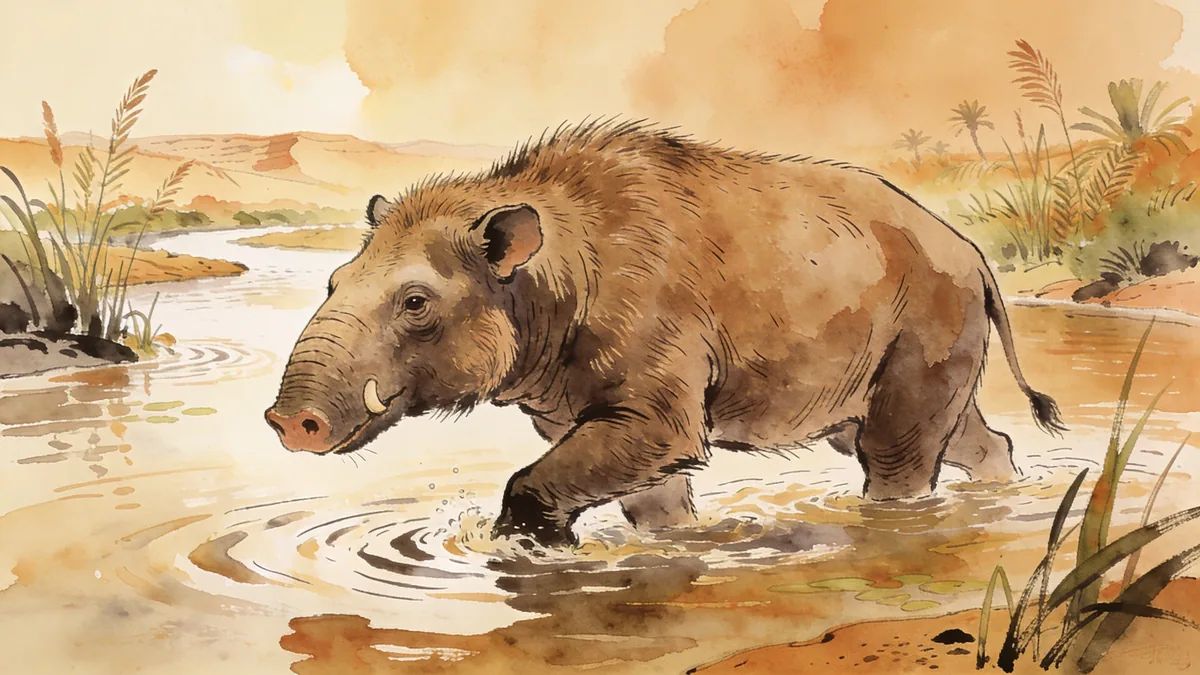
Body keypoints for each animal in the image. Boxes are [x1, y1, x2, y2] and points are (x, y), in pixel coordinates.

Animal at [265, 120, 1064, 547]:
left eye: (416, 302)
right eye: (333, 280)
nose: (287, 420)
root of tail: (981, 260)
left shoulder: (660, 374)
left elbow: (577, 468)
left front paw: (534, 549)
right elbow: (656, 501)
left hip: (924, 330)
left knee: (898, 460)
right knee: (975, 440)